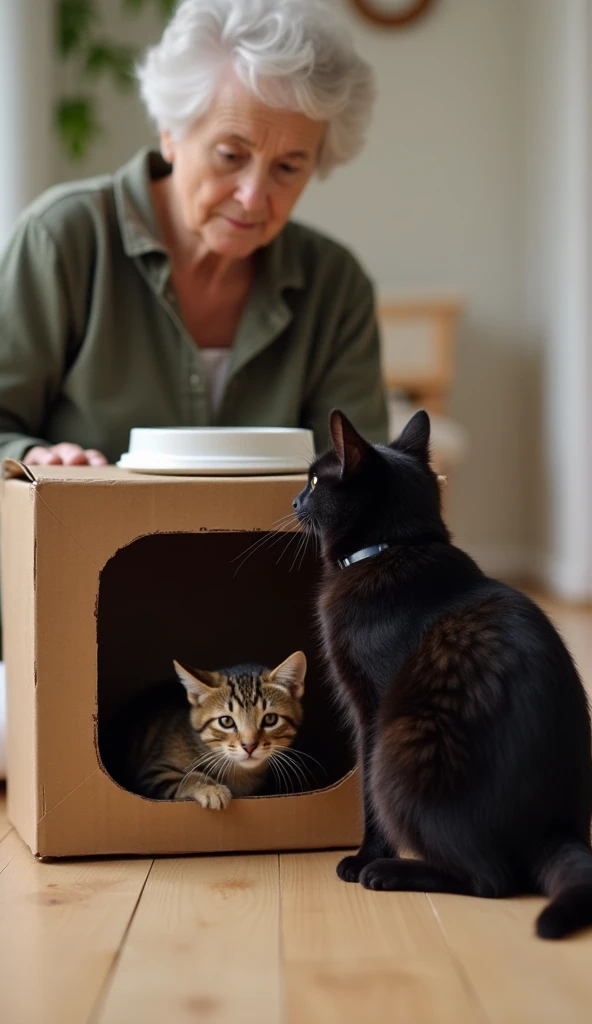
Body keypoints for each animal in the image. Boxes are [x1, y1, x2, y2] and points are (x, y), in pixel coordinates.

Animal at [127, 655, 307, 806]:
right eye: (226, 721)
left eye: (270, 719)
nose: (249, 746)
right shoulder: (154, 772)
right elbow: (188, 776)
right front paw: (211, 789)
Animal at [294, 411, 592, 937]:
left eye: (313, 481)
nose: (293, 499)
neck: (391, 547)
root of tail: (553, 824)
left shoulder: (371, 712)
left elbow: (366, 797)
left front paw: (362, 857)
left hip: (402, 745)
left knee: (492, 877)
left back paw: (388, 872)